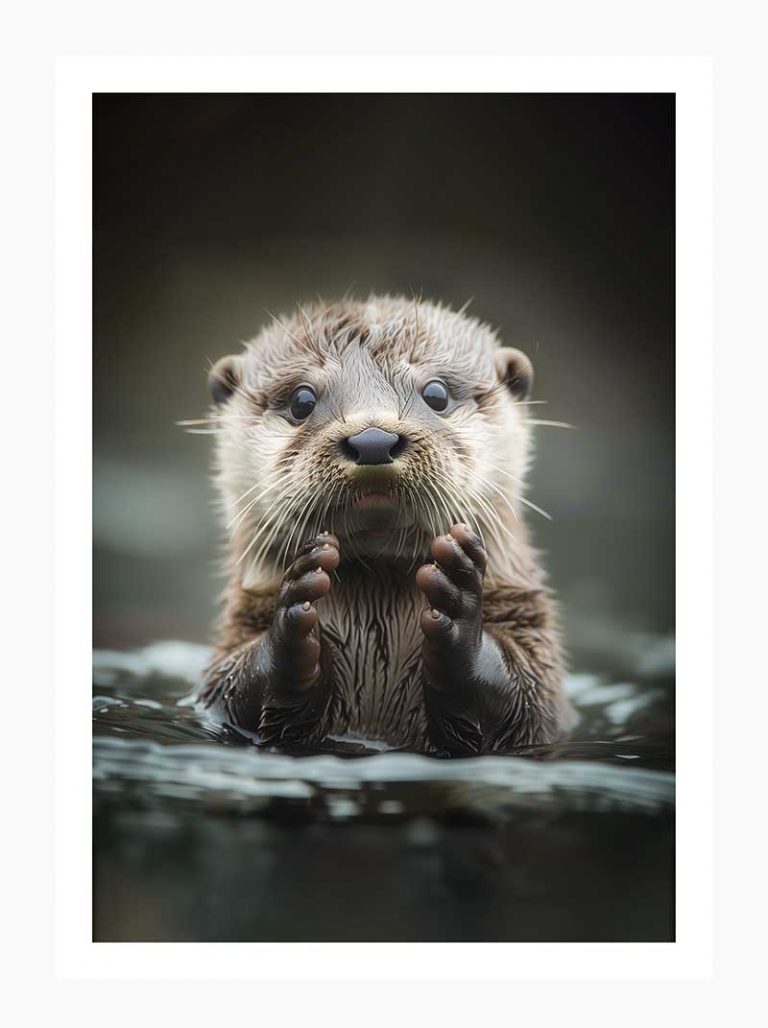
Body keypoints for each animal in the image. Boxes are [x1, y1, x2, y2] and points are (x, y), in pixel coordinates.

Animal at [197, 295, 568, 754]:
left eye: (436, 393)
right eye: (302, 400)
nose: (373, 440)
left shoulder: (532, 644)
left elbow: (526, 693)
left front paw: (459, 599)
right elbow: (231, 684)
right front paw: (294, 613)